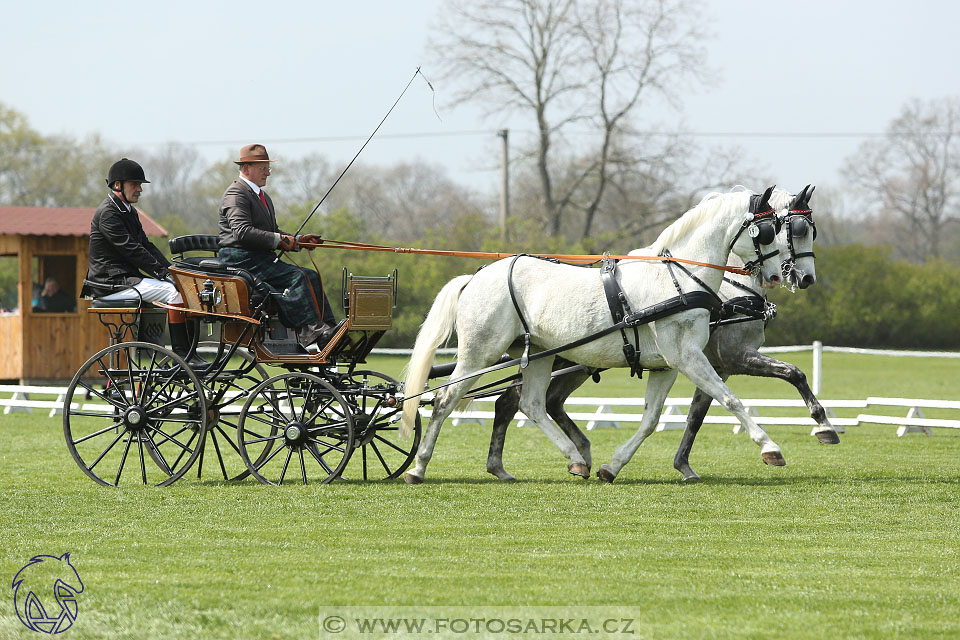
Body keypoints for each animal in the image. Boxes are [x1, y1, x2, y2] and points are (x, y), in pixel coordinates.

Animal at [402, 188, 784, 482]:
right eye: (768, 230)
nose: (778, 274)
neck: (678, 277)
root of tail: (475, 277)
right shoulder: (687, 356)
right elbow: (729, 399)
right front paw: (770, 448)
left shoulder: (668, 365)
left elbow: (651, 419)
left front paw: (612, 466)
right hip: (479, 354)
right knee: (444, 401)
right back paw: (418, 468)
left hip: (538, 355)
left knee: (531, 404)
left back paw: (573, 459)